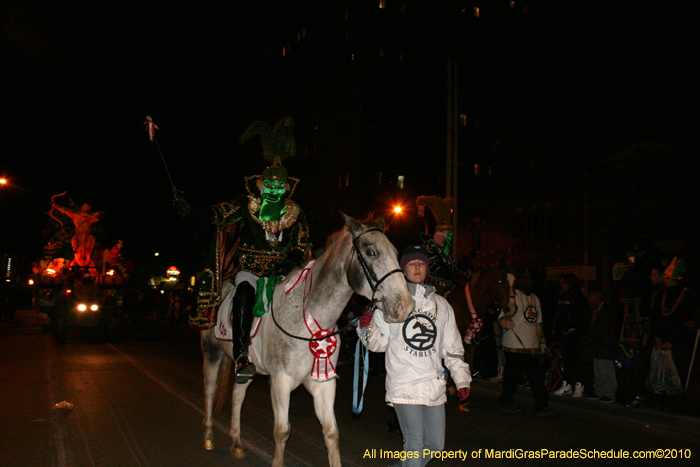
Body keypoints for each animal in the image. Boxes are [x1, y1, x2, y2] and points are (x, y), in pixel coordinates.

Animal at [198, 214, 416, 466]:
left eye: (395, 251)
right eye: (371, 252)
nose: (405, 305)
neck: (307, 318)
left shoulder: (323, 382)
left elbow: (331, 433)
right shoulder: (280, 382)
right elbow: (282, 431)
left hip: (246, 369)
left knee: (237, 395)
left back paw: (236, 442)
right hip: (211, 352)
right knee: (210, 390)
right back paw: (208, 436)